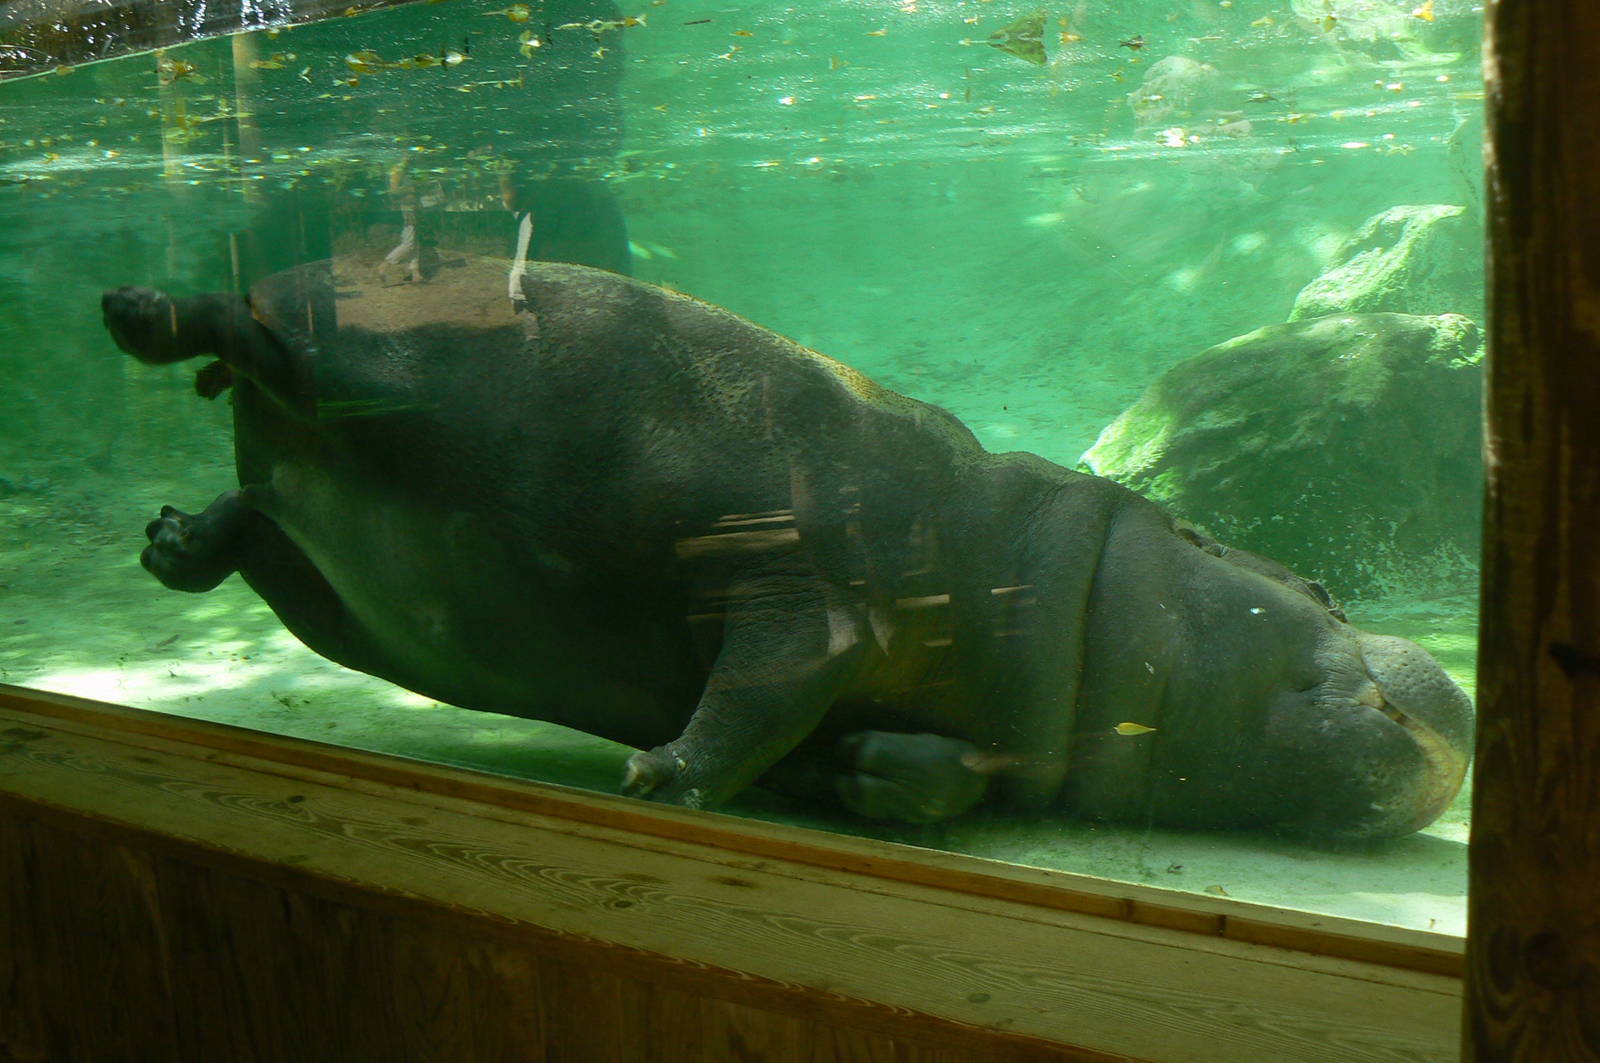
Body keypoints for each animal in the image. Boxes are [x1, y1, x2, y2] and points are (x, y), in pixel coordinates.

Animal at [100, 256, 1474, 838]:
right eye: (1321, 585)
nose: (1460, 712)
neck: (1074, 588)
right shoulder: (815, 598)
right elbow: (762, 686)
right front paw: (661, 782)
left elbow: (866, 755)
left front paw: (871, 774)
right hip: (364, 365)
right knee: (244, 331)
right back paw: (135, 312)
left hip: (338, 581)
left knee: (260, 511)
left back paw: (171, 541)